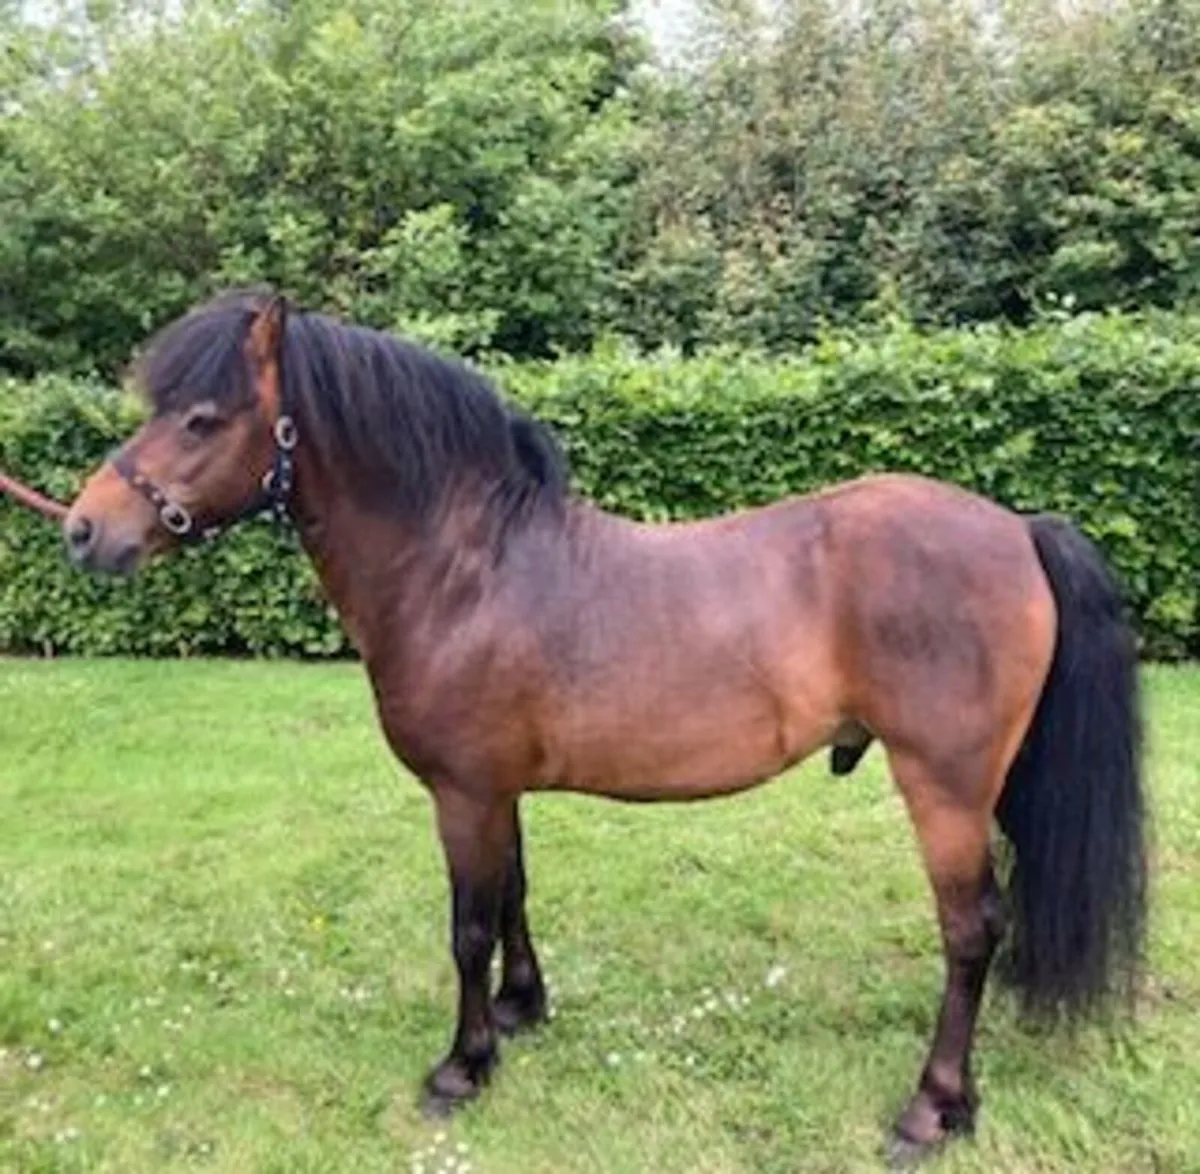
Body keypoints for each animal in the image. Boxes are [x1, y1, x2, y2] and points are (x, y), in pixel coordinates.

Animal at [62, 290, 1147, 1165]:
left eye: (202, 418)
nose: (82, 529)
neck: (465, 566)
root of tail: (1018, 528)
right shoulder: (497, 789)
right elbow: (513, 897)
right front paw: (521, 1009)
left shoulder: (462, 792)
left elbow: (466, 926)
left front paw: (462, 1066)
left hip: (944, 787)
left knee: (971, 931)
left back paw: (932, 1110)